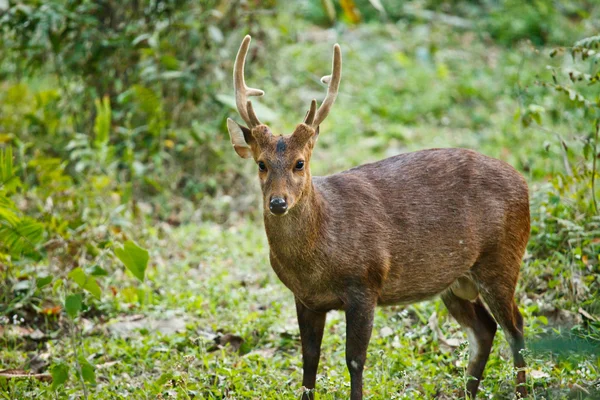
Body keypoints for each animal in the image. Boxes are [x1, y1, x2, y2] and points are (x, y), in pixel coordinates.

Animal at [226, 36, 528, 398]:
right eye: (262, 164)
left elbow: (355, 360)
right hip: (454, 279)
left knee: (516, 326)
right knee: (485, 329)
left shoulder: (365, 283)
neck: (317, 258)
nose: (277, 202)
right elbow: (309, 360)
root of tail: (524, 184)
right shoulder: (306, 298)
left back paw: (523, 390)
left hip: (502, 259)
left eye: (300, 163)